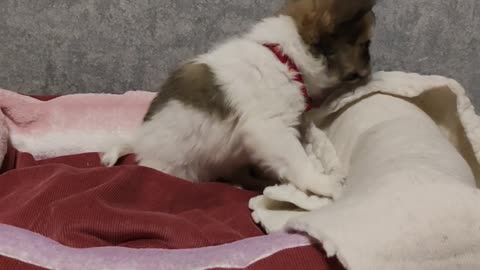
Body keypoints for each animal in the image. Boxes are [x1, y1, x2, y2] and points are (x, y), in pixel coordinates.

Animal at [102, 0, 378, 198]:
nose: (371, 70)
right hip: (176, 168)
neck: (285, 58)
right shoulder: (270, 129)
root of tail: (139, 142)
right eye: (365, 46)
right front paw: (322, 182)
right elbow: (296, 158)